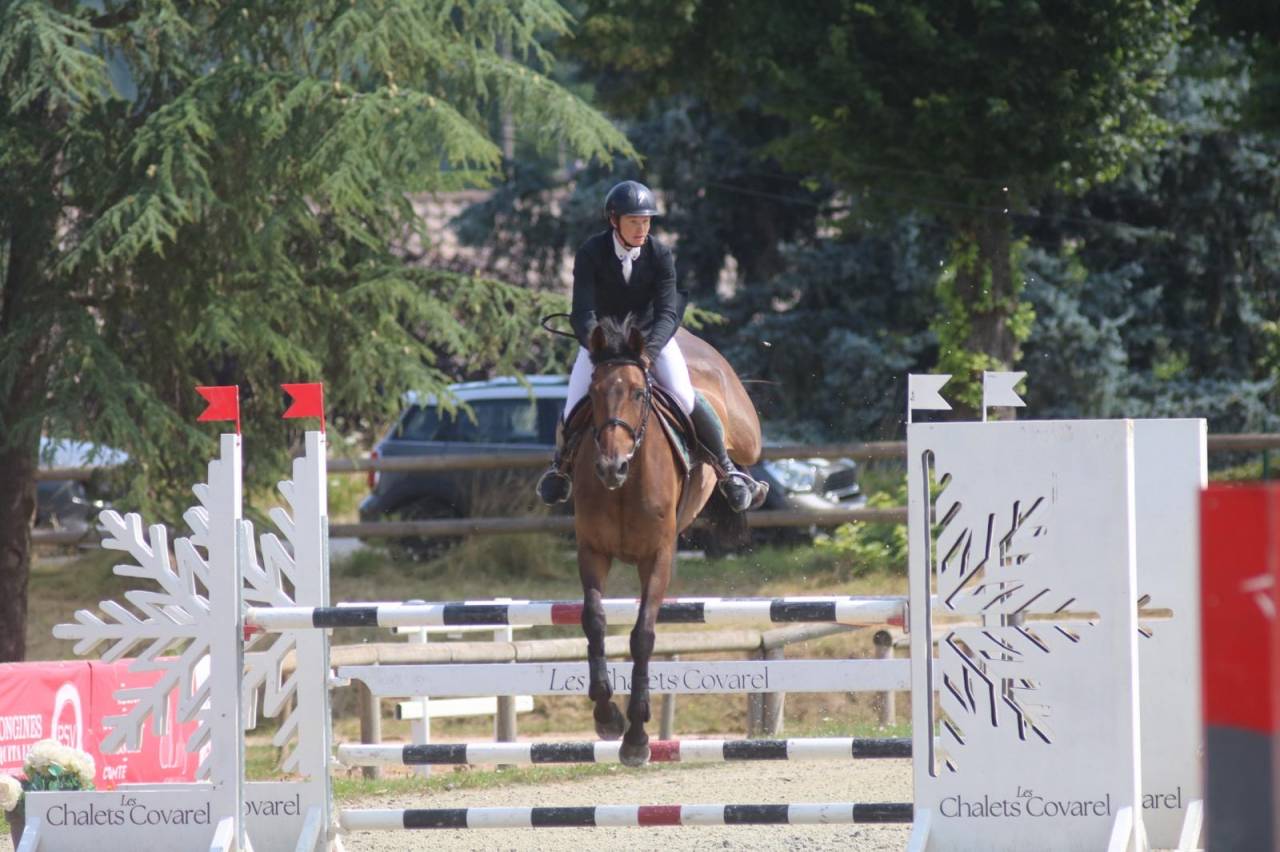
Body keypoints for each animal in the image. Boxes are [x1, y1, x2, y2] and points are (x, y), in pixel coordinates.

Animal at [572, 316, 763, 766]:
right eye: (593, 394)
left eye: (639, 394)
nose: (611, 466)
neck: (624, 486)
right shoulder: (593, 551)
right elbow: (594, 620)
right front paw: (606, 715)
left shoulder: (658, 556)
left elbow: (642, 635)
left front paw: (637, 738)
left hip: (748, 433)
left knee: (742, 448)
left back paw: (745, 486)